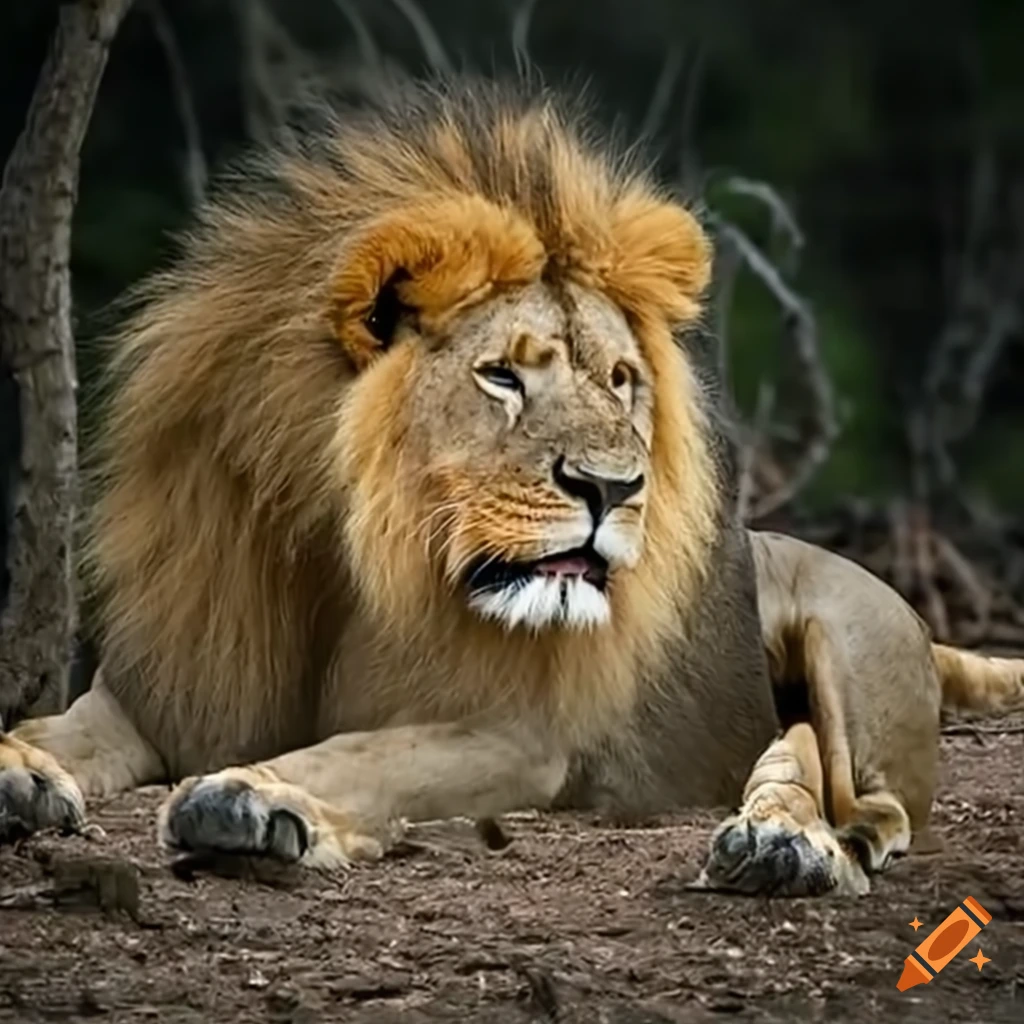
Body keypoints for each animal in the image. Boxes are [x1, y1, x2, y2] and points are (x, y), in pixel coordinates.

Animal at [0, 76, 1021, 897]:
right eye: (502, 377)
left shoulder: (513, 734)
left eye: (620, 380)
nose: (614, 489)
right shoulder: (156, 689)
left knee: (852, 793)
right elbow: (59, 726)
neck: (344, 562)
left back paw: (788, 849)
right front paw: (23, 773)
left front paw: (255, 797)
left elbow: (366, 752)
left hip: (848, 637)